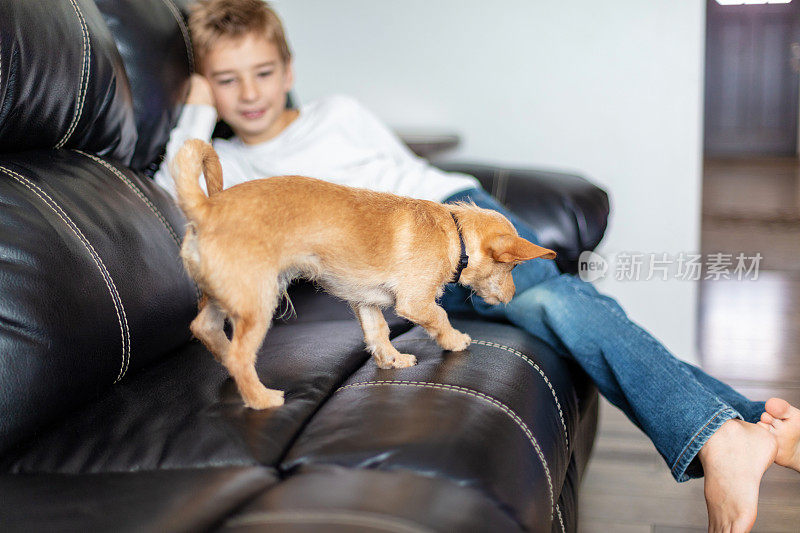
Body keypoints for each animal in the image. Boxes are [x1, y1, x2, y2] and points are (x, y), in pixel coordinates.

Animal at [169, 138, 556, 408]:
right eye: (512, 267)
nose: (511, 296)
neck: (454, 233)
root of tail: (205, 208)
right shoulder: (415, 303)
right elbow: (441, 317)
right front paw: (455, 340)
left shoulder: (366, 303)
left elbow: (378, 333)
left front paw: (392, 360)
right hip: (258, 300)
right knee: (240, 354)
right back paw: (261, 398)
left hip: (226, 294)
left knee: (204, 328)